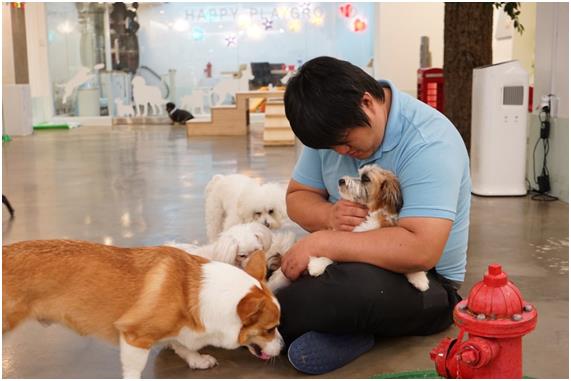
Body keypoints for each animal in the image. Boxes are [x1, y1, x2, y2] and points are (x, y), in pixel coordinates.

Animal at [1, 239, 284, 376]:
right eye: (270, 329)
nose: (283, 347)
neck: (193, 292)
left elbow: (181, 344)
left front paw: (197, 359)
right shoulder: (135, 338)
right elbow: (134, 370)